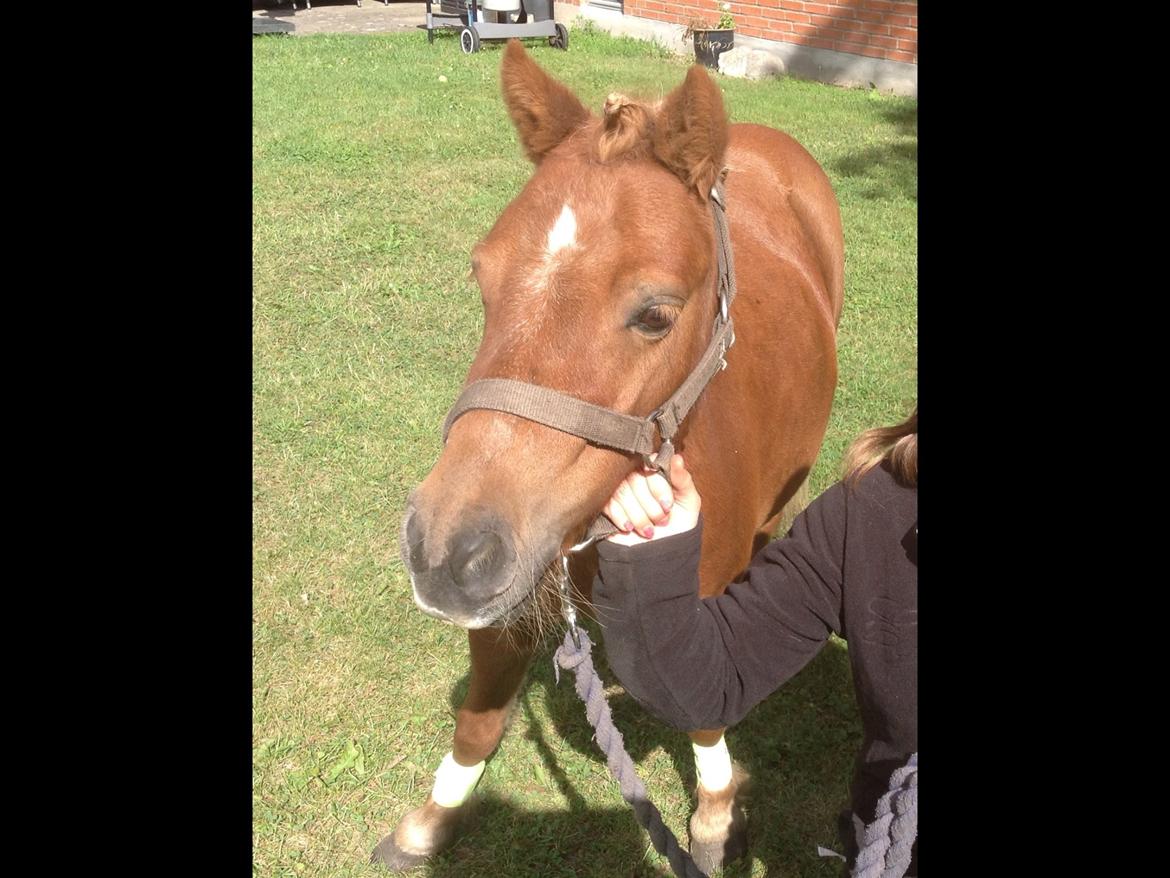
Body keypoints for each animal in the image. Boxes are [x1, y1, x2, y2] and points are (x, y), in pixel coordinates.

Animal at [379, 41, 847, 878]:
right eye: (482, 276)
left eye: (656, 313)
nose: (442, 551)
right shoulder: (513, 588)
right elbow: (480, 718)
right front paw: (430, 821)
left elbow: (705, 708)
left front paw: (717, 816)